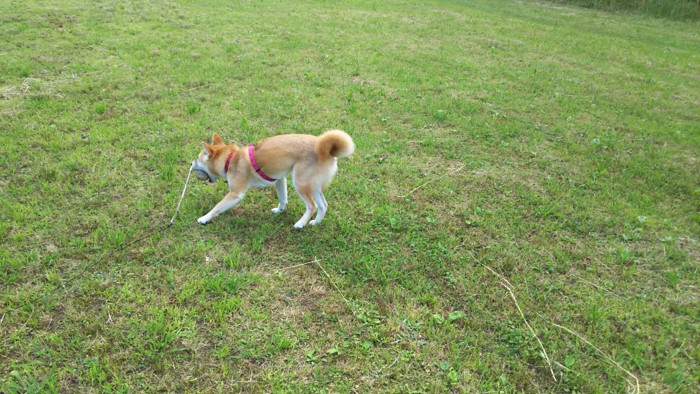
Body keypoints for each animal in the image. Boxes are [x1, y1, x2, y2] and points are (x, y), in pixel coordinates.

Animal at [193, 130, 352, 228]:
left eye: (198, 159)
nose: (191, 163)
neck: (231, 158)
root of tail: (326, 149)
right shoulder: (280, 180)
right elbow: (283, 198)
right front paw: (279, 210)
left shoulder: (235, 194)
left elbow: (217, 207)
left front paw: (204, 218)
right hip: (313, 185)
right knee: (323, 205)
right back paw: (315, 223)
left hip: (300, 182)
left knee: (312, 206)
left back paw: (300, 224)